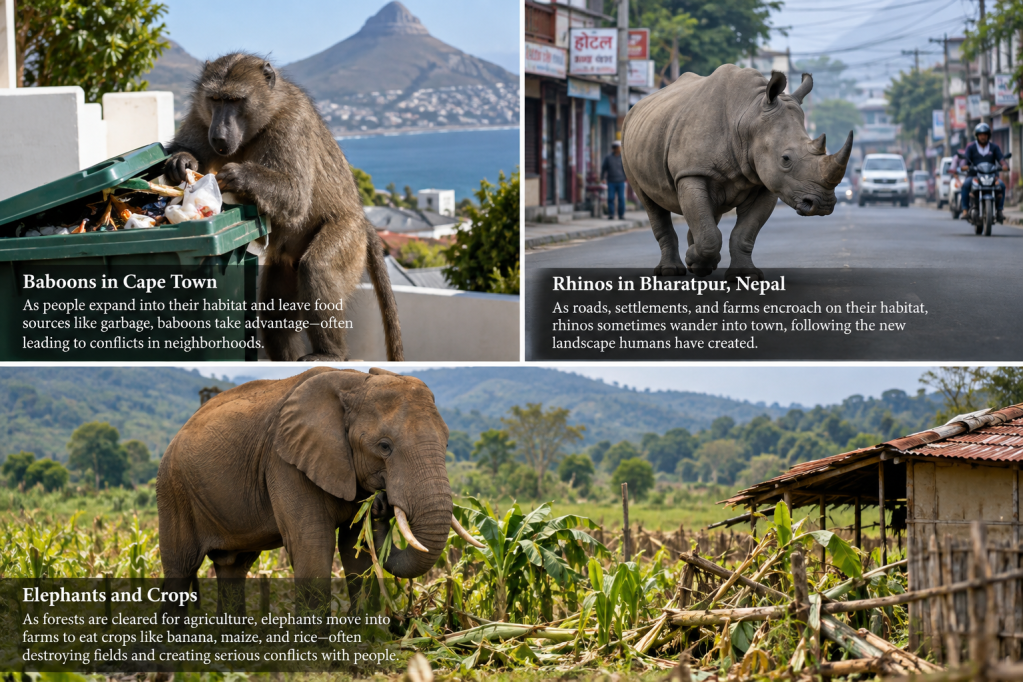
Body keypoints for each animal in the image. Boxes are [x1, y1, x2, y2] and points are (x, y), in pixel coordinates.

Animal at [156, 366, 483, 617]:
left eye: (447, 443)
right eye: (384, 447)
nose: (381, 504)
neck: (356, 382)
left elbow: (354, 547)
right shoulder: (284, 462)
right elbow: (312, 543)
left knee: (233, 566)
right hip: (173, 489)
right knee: (181, 568)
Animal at [163, 53, 403, 361]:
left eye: (235, 100)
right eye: (215, 99)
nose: (218, 137)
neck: (267, 113)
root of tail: (363, 221)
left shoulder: (292, 124)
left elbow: (296, 195)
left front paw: (238, 176)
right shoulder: (200, 112)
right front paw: (181, 161)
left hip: (349, 235)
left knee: (317, 267)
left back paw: (330, 354)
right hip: (286, 262)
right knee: (274, 316)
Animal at [621, 64, 853, 278]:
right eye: (785, 159)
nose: (822, 205)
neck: (749, 115)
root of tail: (636, 107)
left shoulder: (767, 182)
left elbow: (744, 233)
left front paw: (743, 275)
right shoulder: (691, 172)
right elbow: (709, 236)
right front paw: (694, 258)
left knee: (709, 211)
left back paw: (699, 264)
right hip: (627, 140)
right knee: (651, 203)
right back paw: (671, 271)